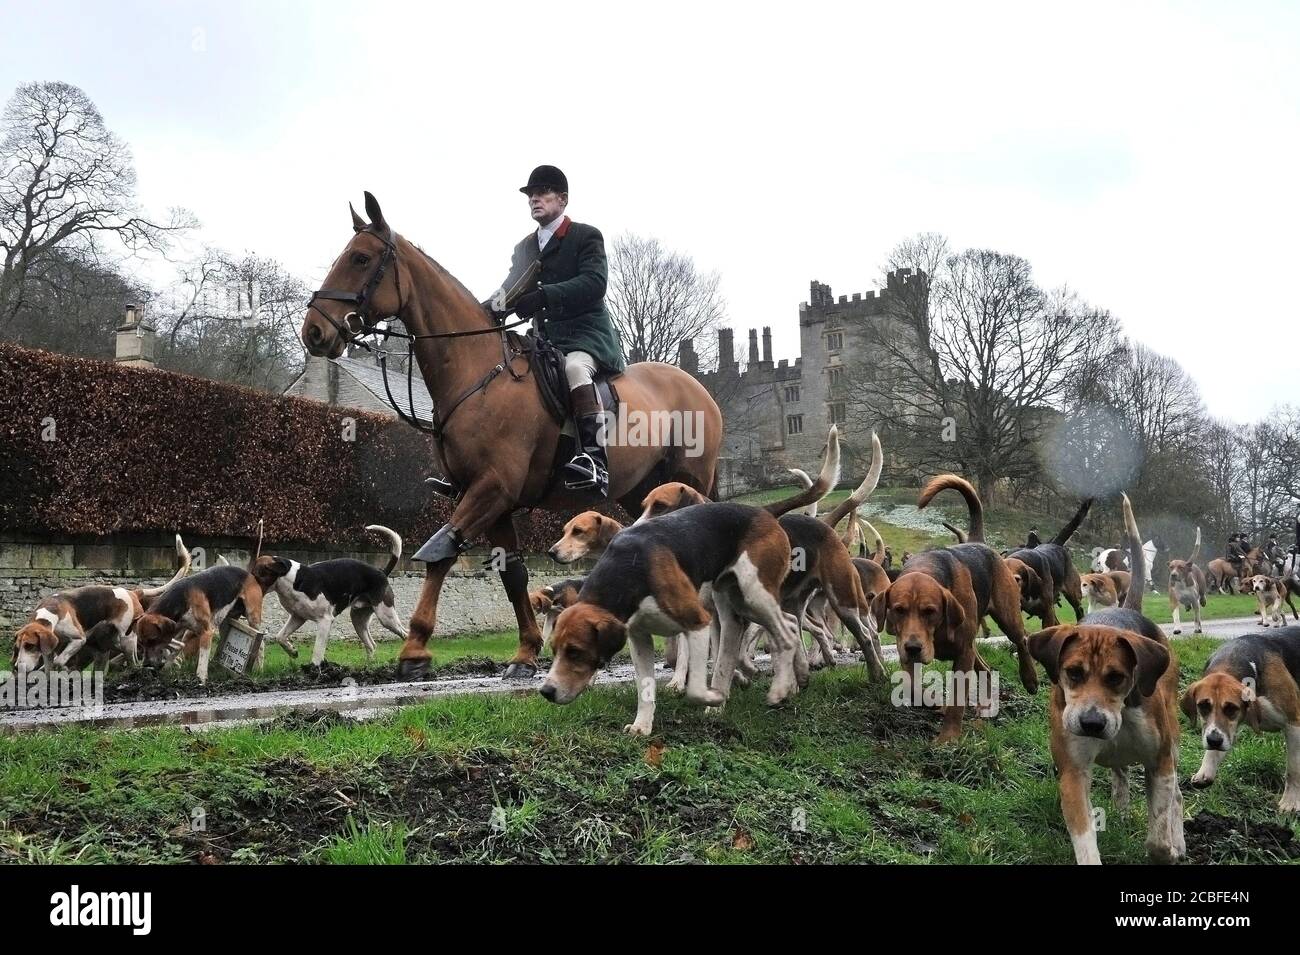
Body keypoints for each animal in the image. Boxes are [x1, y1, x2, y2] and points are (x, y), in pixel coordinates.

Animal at [301, 192, 722, 680]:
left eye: (361, 258)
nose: (314, 331)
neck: (478, 372)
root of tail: (698, 386)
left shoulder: (491, 488)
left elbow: (441, 553)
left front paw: (415, 648)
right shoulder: (493, 500)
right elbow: (511, 572)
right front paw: (525, 652)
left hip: (686, 480)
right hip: (644, 493)